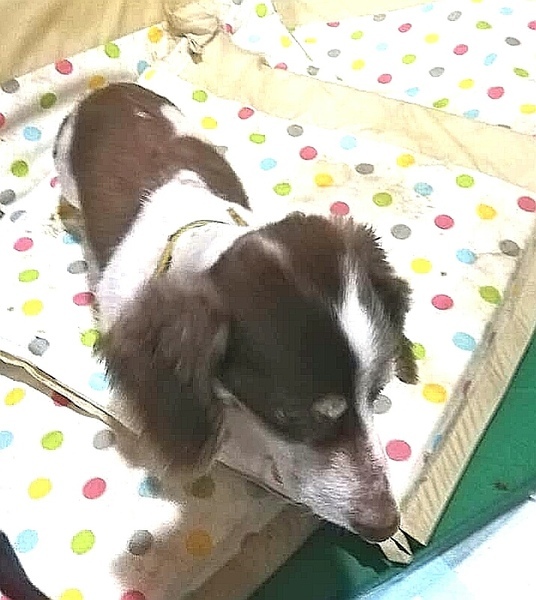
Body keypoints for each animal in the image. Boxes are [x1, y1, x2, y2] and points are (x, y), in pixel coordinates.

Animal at [53, 82, 417, 544]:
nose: (385, 525)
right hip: (67, 172)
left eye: (377, 393)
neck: (196, 236)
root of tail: (106, 89)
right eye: (290, 415)